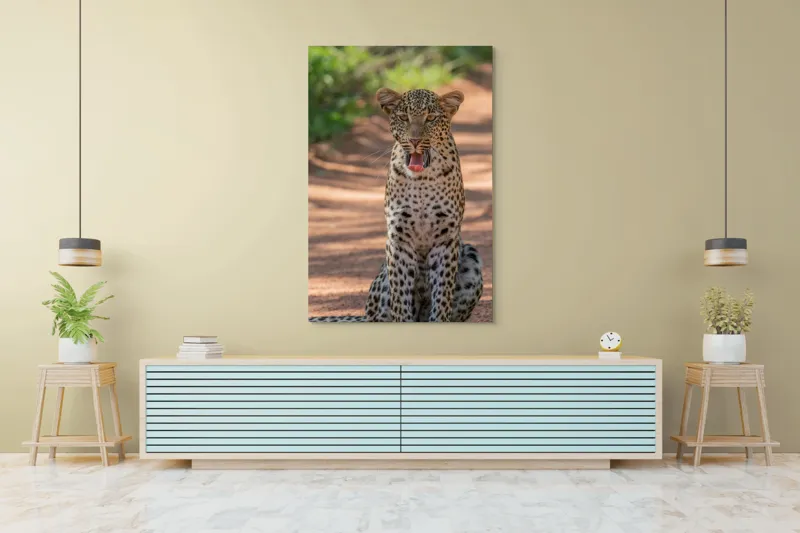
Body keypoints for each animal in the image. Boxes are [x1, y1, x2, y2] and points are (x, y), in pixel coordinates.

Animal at [310, 88, 483, 323]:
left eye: (431, 118)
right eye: (403, 117)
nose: (415, 140)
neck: (422, 181)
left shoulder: (446, 239)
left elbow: (442, 294)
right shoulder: (398, 239)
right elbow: (401, 296)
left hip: (472, 257)